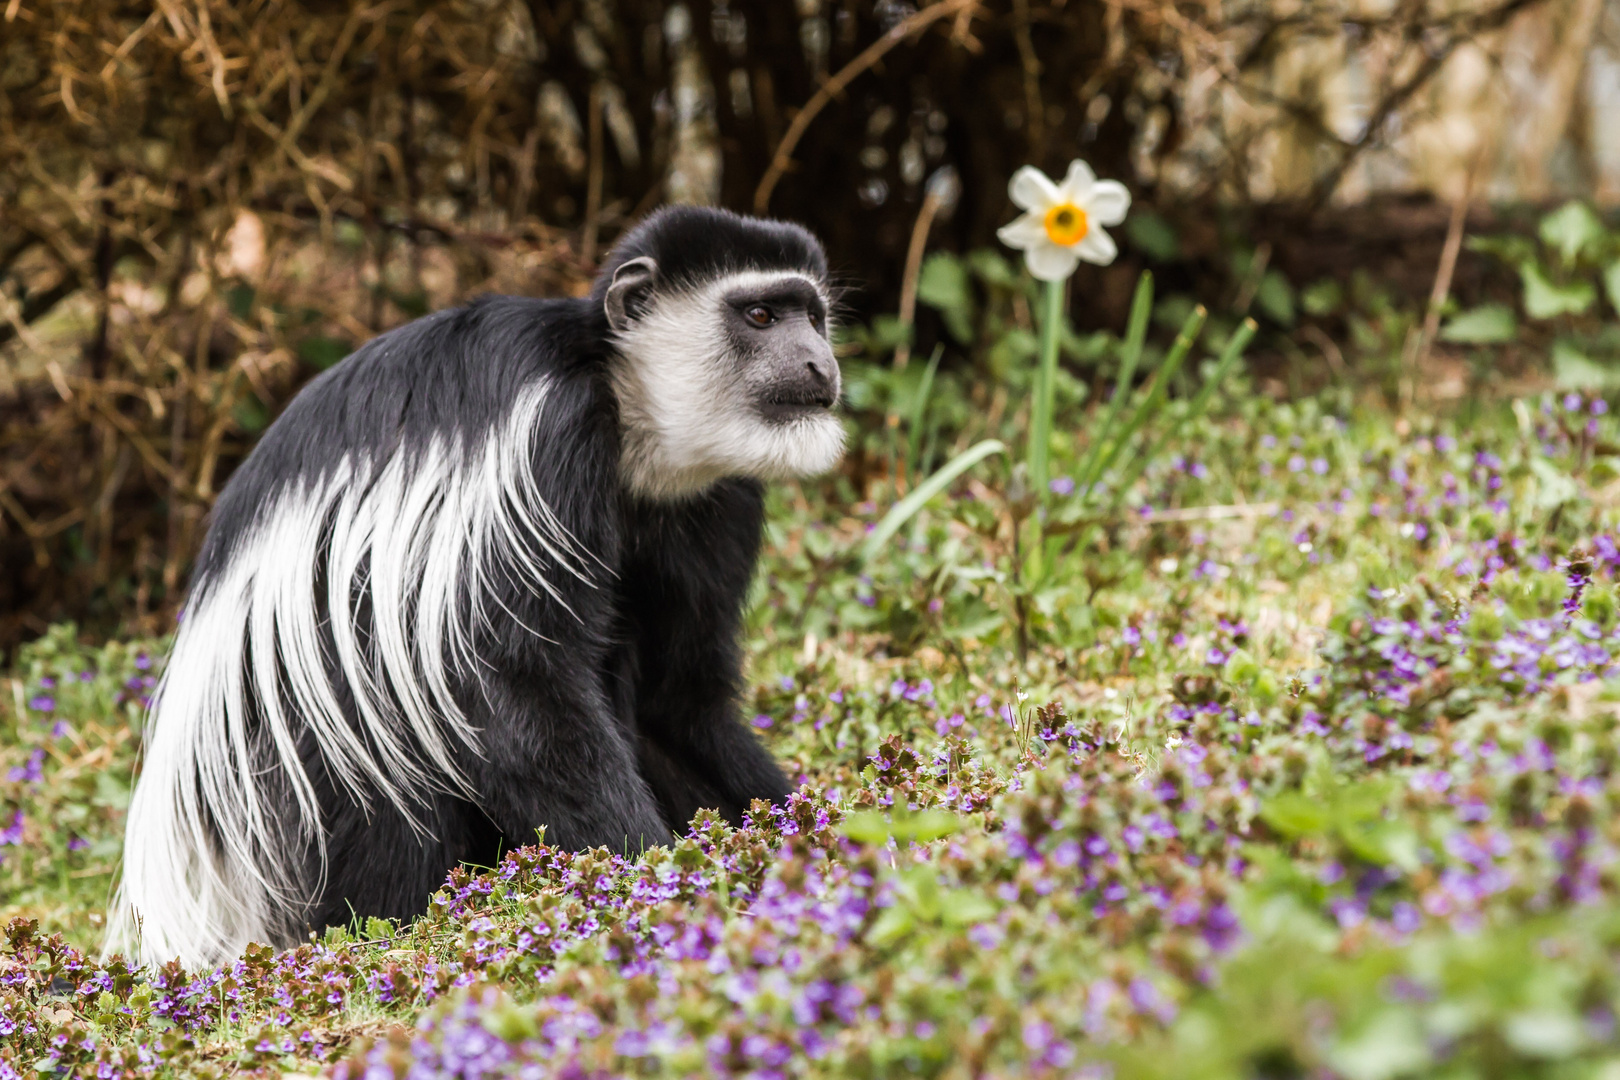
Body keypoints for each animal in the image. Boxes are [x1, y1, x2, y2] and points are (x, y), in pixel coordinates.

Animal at [110, 207, 848, 965]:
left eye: (814, 317)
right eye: (759, 315)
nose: (820, 364)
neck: (624, 410)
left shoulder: (717, 500)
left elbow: (677, 702)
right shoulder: (544, 441)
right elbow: (507, 686)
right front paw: (650, 877)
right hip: (294, 793)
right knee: (384, 726)